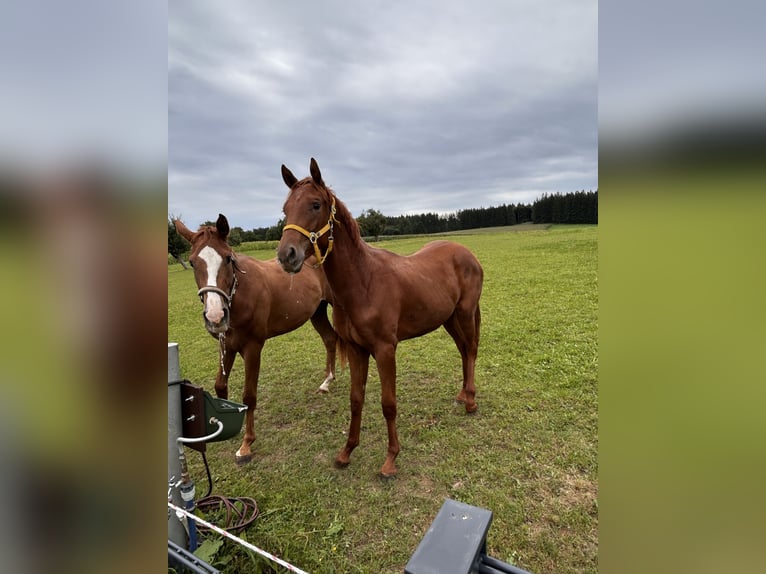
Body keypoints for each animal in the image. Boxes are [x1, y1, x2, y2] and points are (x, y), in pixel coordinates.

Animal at [174, 213, 338, 464]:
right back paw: (326, 382)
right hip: (317, 312)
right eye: (192, 262)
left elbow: (249, 396)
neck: (240, 294)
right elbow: (220, 386)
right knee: (330, 339)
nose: (215, 316)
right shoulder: (226, 346)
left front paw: (246, 445)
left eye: (228, 258)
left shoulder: (253, 348)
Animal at [276, 158, 484, 477]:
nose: (287, 256)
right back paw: (462, 395)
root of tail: (468, 254)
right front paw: (346, 452)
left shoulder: (385, 350)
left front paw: (390, 459)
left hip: (465, 313)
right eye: (285, 209)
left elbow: (388, 403)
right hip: (448, 319)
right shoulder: (356, 349)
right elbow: (356, 399)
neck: (364, 282)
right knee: (463, 350)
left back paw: (470, 401)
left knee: (471, 349)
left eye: (315, 205)